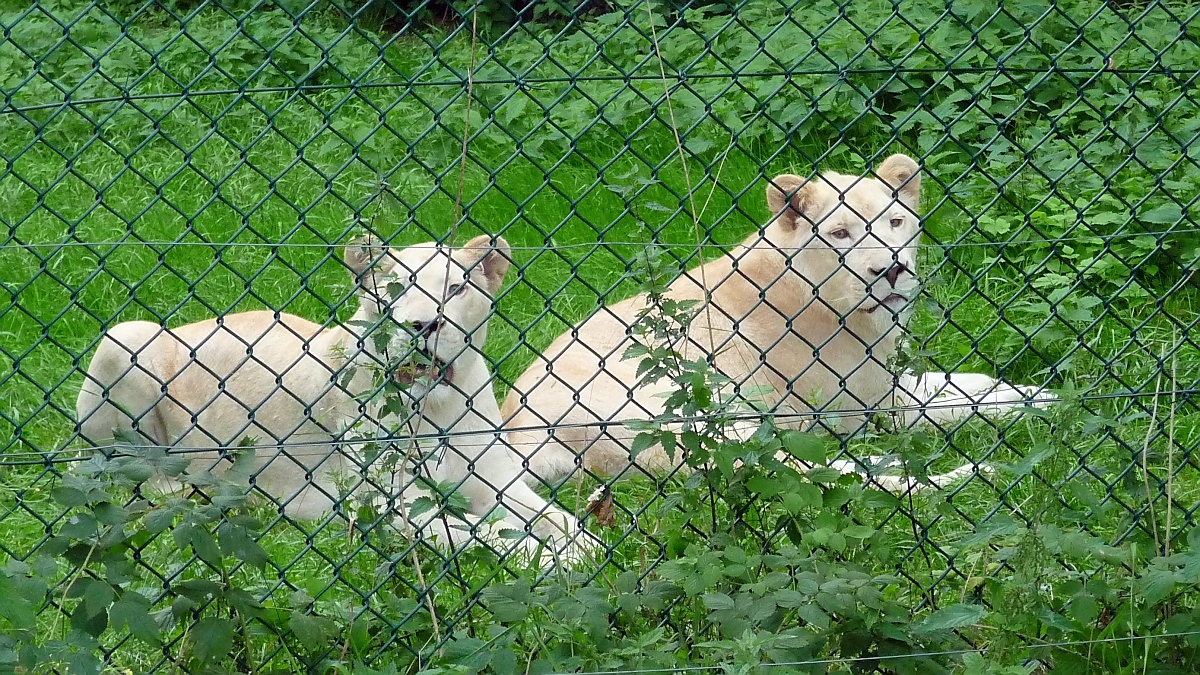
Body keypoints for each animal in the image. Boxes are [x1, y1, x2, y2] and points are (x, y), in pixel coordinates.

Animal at [77, 234, 592, 559]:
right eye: (393, 290)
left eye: (457, 287)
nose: (422, 325)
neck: (436, 408)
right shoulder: (390, 505)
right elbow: (487, 536)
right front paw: (557, 562)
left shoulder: (496, 480)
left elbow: (562, 521)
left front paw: (587, 551)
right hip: (124, 337)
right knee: (125, 477)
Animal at [501, 152, 1056, 487]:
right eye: (840, 233)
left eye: (895, 221)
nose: (892, 269)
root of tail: (515, 426)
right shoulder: (863, 404)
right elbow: (951, 403)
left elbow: (971, 385)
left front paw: (1047, 396)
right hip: (713, 421)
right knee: (822, 477)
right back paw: (964, 475)